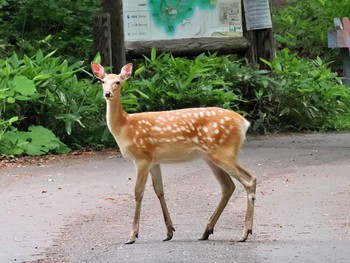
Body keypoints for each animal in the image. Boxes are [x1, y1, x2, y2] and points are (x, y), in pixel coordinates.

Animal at [91, 62, 258, 245]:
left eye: (118, 82)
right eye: (102, 81)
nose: (107, 93)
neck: (125, 127)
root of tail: (244, 123)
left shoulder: (142, 157)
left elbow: (138, 193)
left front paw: (132, 235)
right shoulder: (154, 160)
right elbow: (159, 190)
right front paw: (169, 231)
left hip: (223, 151)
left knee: (249, 180)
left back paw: (244, 233)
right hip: (210, 156)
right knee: (228, 186)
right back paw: (206, 231)